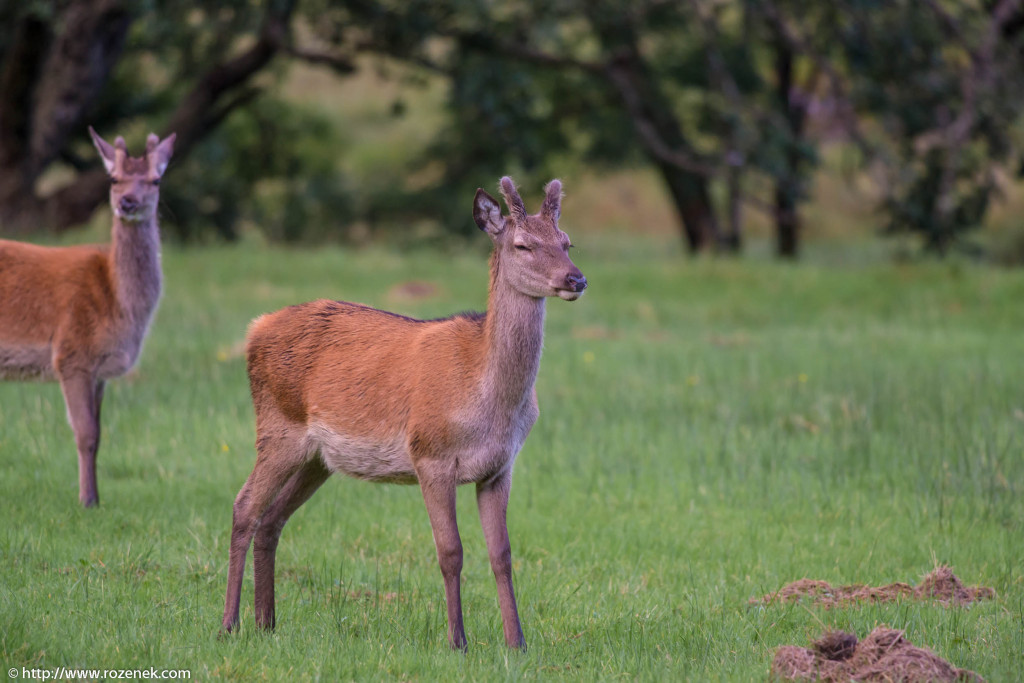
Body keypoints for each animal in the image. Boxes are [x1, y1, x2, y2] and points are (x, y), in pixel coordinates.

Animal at [0, 126, 175, 507]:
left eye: (155, 180)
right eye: (114, 178)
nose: (127, 202)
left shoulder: (100, 370)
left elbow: (100, 434)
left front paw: (95, 495)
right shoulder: (72, 354)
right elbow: (85, 434)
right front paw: (86, 501)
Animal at [224, 178, 589, 651]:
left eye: (567, 242)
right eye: (523, 245)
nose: (576, 278)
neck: (489, 399)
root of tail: (255, 329)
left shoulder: (499, 467)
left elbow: (503, 554)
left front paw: (517, 643)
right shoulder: (430, 454)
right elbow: (450, 551)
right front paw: (458, 642)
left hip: (318, 458)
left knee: (271, 519)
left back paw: (267, 622)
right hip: (277, 428)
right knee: (244, 508)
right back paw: (229, 623)